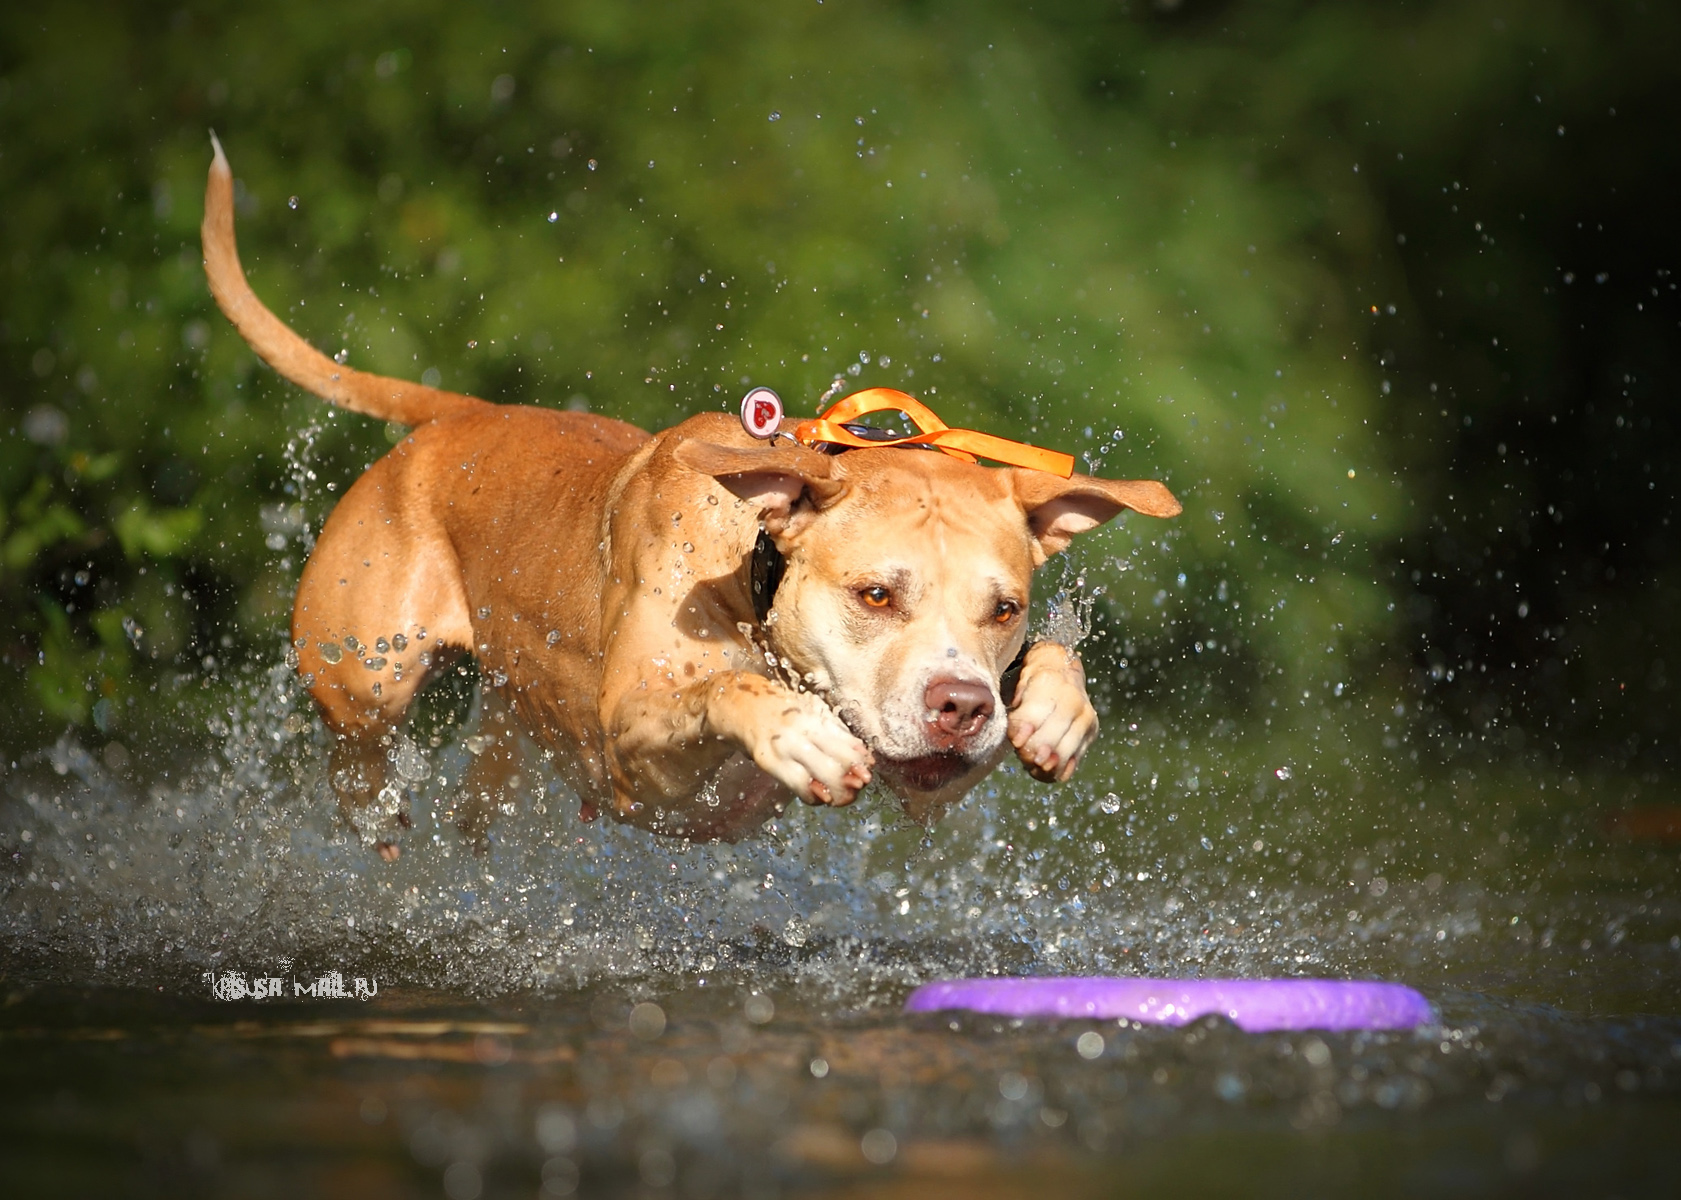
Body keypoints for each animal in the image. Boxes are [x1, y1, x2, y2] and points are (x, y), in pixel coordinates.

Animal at [200, 137, 1183, 850]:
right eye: (874, 595)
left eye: (1006, 608)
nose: (963, 706)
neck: (752, 573)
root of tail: (465, 416)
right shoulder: (634, 755)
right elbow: (719, 691)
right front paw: (792, 728)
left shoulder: (927, 781)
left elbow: (1037, 674)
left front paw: (1054, 707)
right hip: (364, 685)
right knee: (364, 762)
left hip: (508, 729)